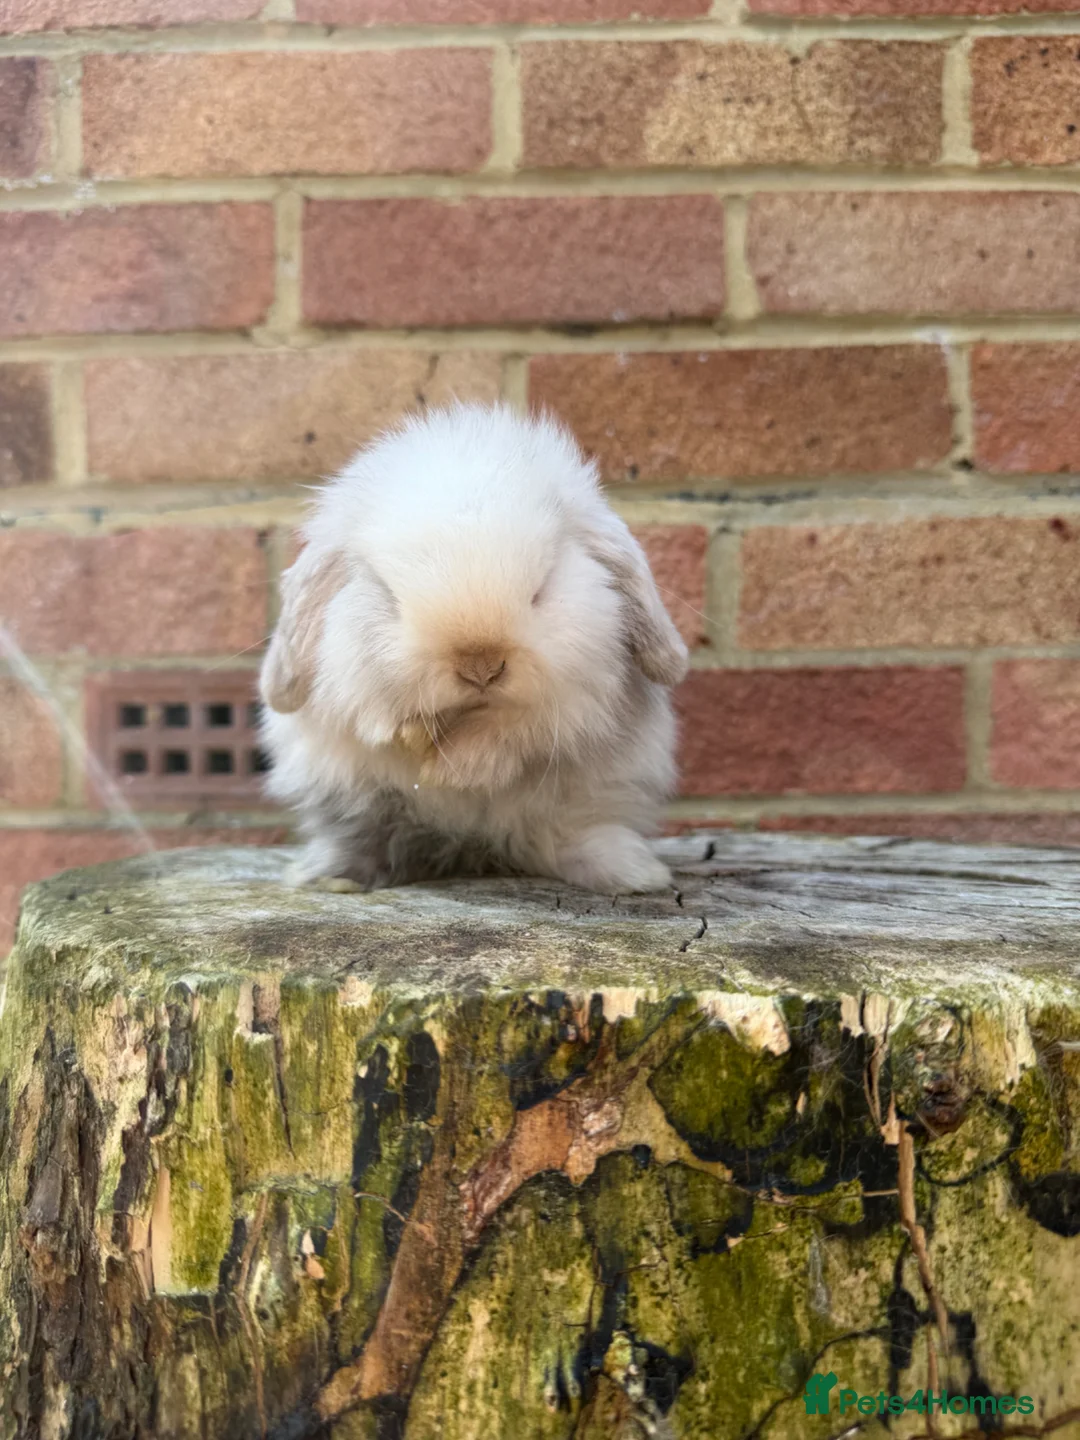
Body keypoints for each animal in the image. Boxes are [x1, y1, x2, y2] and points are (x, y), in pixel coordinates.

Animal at [258, 401, 689, 895]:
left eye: (541, 589)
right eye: (389, 595)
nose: (481, 667)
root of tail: (476, 847)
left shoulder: (572, 702)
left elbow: (515, 732)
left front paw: (459, 768)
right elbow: (379, 721)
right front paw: (416, 739)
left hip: (591, 797)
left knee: (566, 834)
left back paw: (633, 872)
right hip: (348, 796)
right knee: (367, 836)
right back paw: (330, 875)